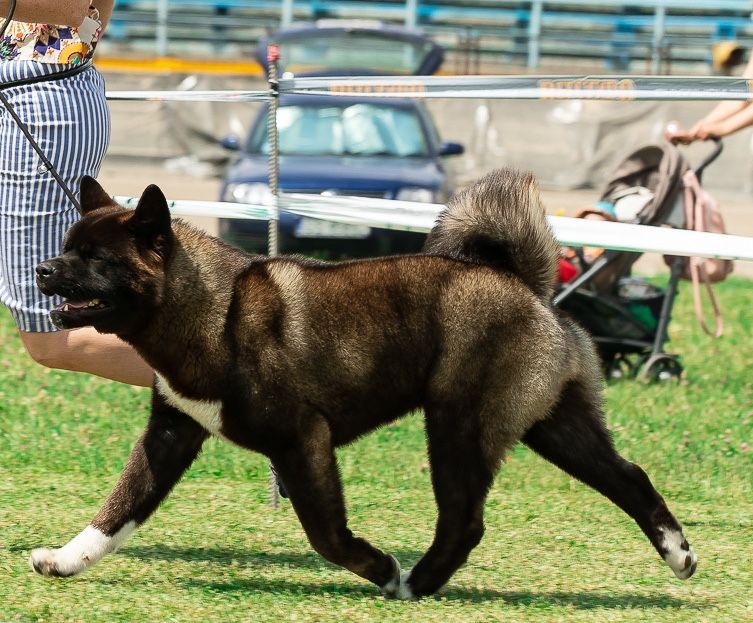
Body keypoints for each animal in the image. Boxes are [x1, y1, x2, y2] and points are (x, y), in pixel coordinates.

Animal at [32, 171, 696, 600]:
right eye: (67, 247)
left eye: (96, 259)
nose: (41, 268)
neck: (211, 310)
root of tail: (526, 285)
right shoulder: (170, 437)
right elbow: (118, 510)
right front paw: (65, 560)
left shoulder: (303, 441)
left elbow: (325, 534)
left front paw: (379, 567)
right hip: (552, 424)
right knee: (628, 478)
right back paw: (679, 553)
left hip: (457, 425)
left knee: (465, 520)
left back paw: (414, 583)